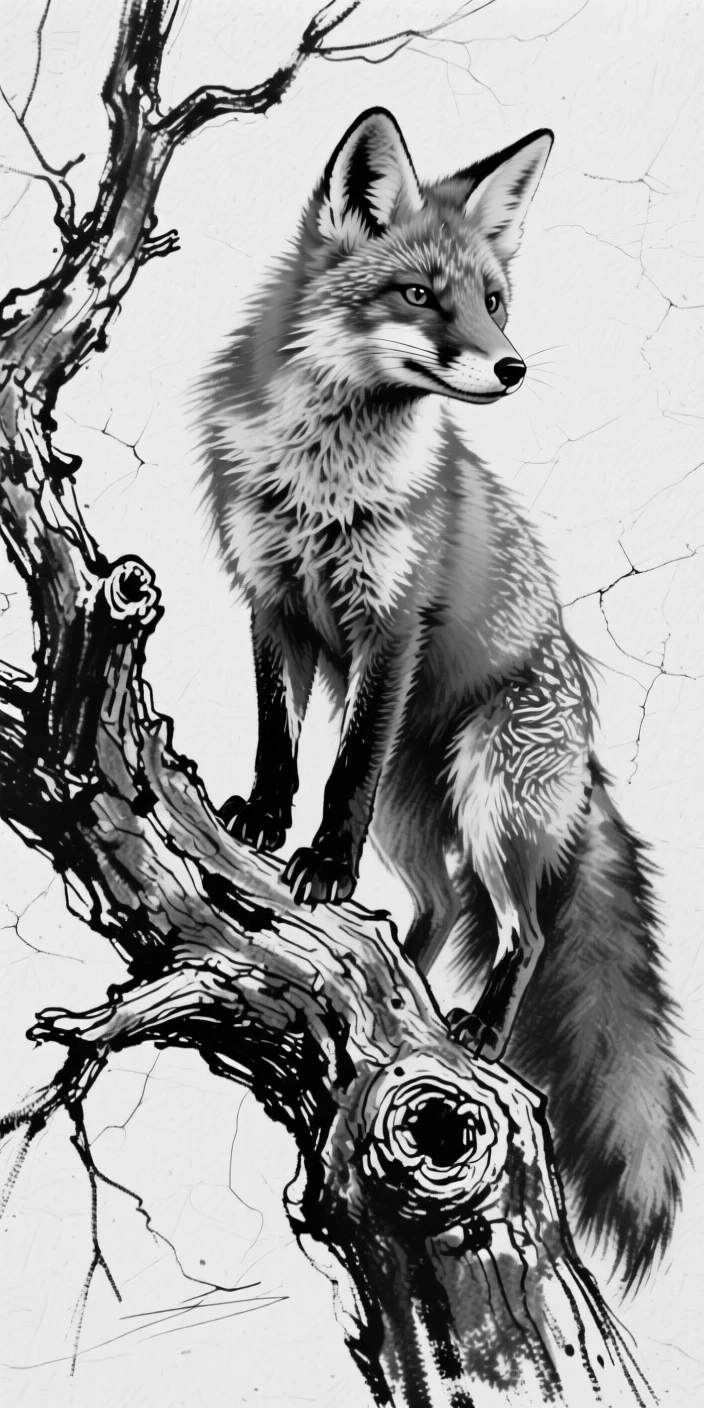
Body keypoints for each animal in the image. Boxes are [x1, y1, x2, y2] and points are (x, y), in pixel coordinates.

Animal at [196, 108, 692, 1287]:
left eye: (494, 299)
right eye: (420, 295)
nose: (511, 366)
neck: (326, 473)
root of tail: (589, 750)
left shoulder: (392, 623)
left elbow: (342, 770)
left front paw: (322, 862)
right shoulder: (269, 599)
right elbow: (280, 742)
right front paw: (261, 823)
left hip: (489, 798)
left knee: (520, 930)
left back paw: (466, 1029)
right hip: (423, 818)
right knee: (438, 909)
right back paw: (391, 1003)